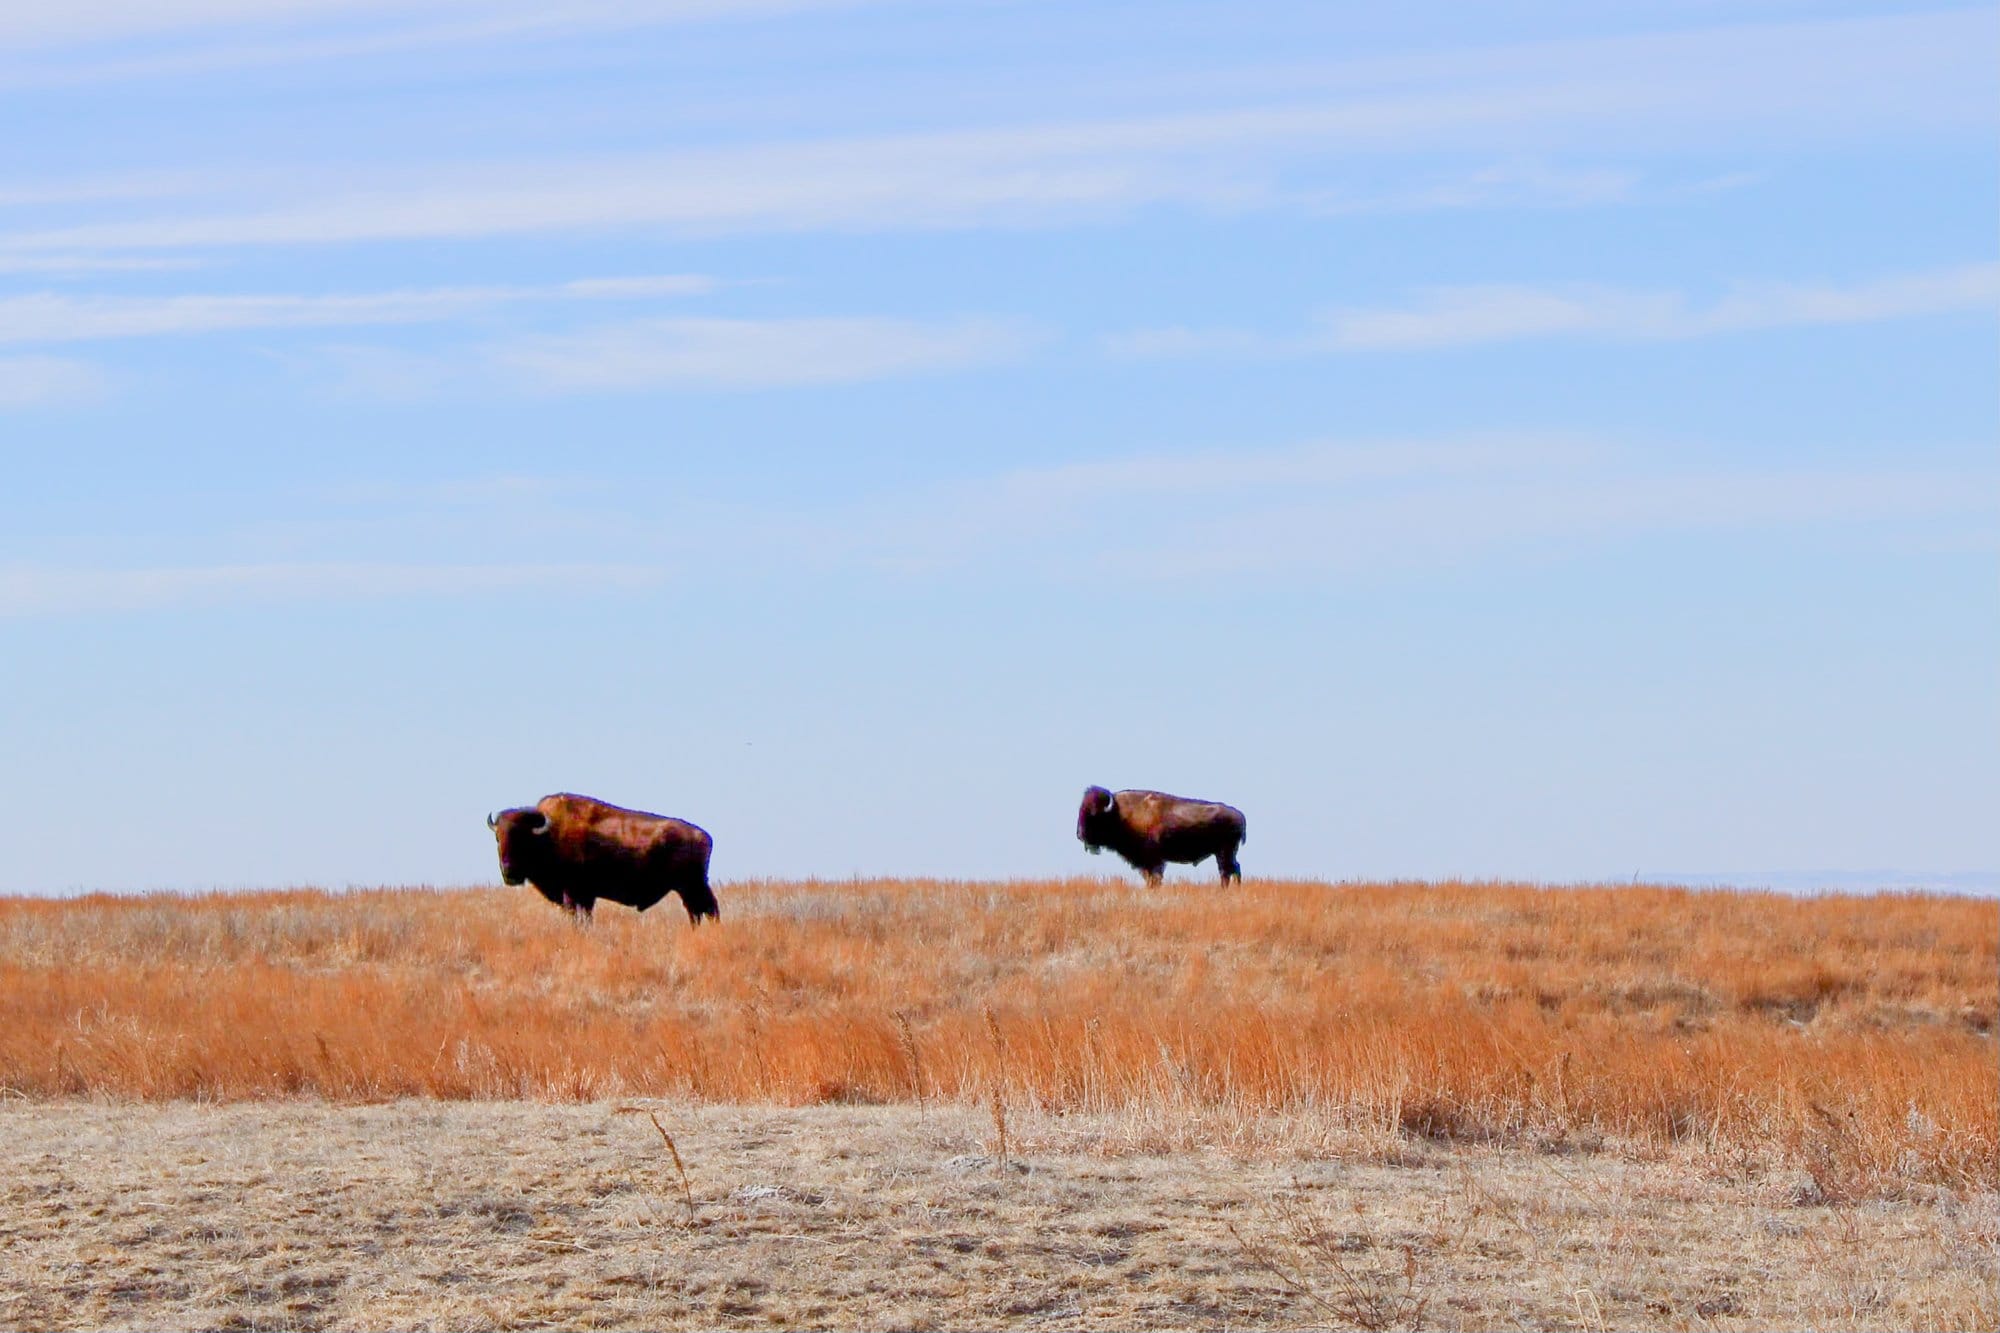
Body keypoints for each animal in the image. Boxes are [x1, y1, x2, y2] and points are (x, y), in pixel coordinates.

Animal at [486, 792, 718, 924]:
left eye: (521, 838)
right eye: (498, 837)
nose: (508, 872)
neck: (549, 834)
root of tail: (704, 835)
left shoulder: (575, 893)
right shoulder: (584, 896)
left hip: (691, 885)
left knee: (708, 909)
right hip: (688, 888)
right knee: (698, 911)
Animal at [1076, 786, 1246, 886]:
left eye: (1093, 815)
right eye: (1080, 811)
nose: (1079, 834)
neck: (1119, 814)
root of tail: (1239, 815)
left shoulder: (1154, 860)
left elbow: (1155, 877)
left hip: (1224, 852)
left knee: (1227, 871)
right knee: (1233, 869)